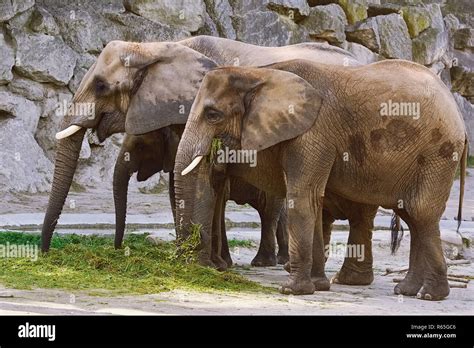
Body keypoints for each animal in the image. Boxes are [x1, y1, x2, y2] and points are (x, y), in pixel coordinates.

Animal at [42, 35, 364, 270]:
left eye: (100, 85)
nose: (45, 252)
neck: (155, 47)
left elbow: (203, 182)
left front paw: (209, 263)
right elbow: (183, 184)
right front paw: (206, 260)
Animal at [173, 58, 466, 300]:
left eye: (213, 115)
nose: (203, 267)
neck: (259, 73)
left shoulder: (312, 134)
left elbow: (302, 198)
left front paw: (293, 290)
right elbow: (314, 201)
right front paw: (317, 286)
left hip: (438, 154)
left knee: (421, 213)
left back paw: (429, 295)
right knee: (411, 216)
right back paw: (406, 291)